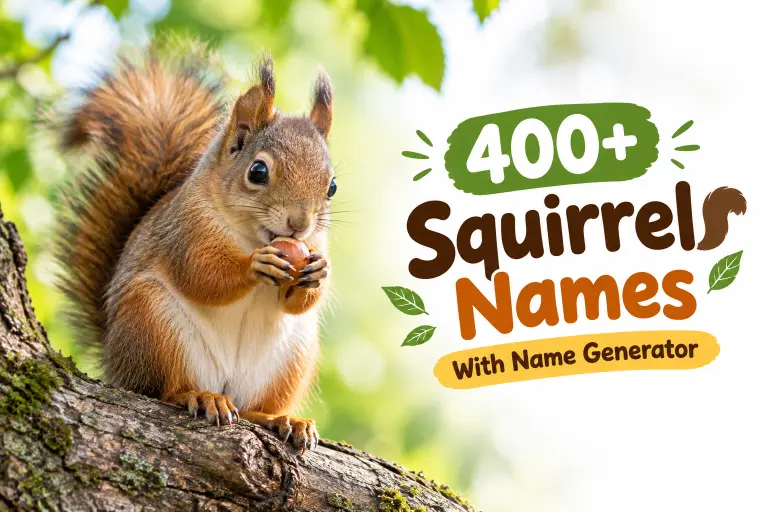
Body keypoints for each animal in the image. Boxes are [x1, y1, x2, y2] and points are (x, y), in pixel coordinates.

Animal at [54, 52, 335, 452]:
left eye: (332, 187)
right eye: (258, 171)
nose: (299, 224)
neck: (253, 236)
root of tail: (115, 361)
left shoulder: (316, 242)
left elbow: (299, 302)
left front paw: (319, 272)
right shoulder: (186, 231)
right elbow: (201, 274)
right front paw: (256, 265)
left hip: (292, 357)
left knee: (254, 407)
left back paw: (282, 418)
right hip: (152, 325)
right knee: (163, 389)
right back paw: (200, 396)